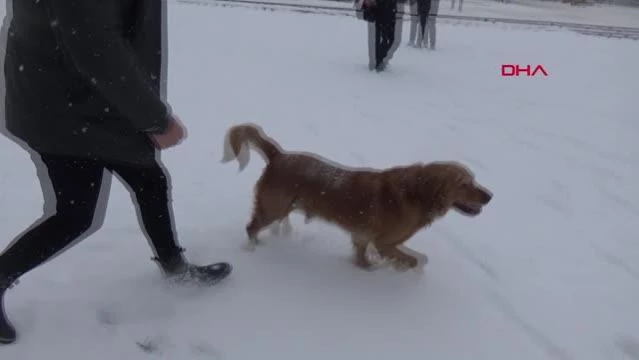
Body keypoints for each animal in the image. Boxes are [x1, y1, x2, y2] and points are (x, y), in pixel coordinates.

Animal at [221, 123, 496, 270]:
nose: (490, 196)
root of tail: (278, 155)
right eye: (464, 184)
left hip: (281, 206)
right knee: (251, 227)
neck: (417, 193)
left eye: (474, 179)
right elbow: (415, 261)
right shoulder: (385, 242)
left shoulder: (363, 236)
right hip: (272, 208)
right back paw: (253, 250)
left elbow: (362, 255)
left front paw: (364, 269)